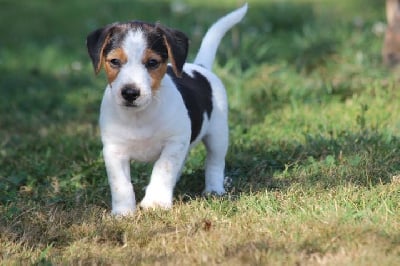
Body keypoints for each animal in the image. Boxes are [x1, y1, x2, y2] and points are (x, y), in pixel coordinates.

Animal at [86, 4, 247, 216]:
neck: (140, 116)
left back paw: (214, 189)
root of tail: (200, 67)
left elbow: (162, 170)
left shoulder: (174, 142)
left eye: (152, 62)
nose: (130, 93)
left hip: (218, 135)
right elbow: (121, 184)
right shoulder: (114, 150)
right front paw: (123, 212)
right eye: (114, 61)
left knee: (215, 162)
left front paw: (155, 202)